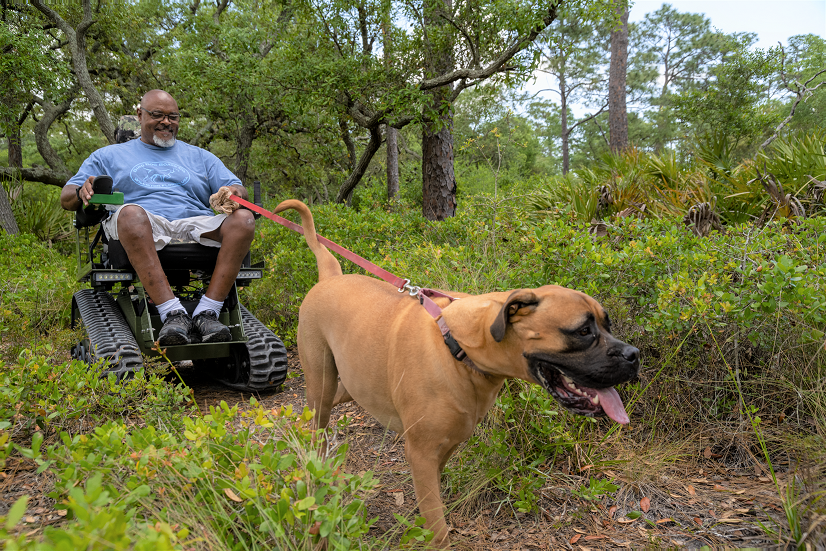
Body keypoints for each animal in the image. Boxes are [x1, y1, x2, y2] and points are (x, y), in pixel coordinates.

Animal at [274, 199, 640, 548]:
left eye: (607, 324)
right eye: (583, 331)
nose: (634, 356)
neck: (461, 348)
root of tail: (330, 277)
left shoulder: (445, 447)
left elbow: (431, 504)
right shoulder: (421, 453)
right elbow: (438, 528)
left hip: (350, 382)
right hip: (320, 381)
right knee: (317, 421)